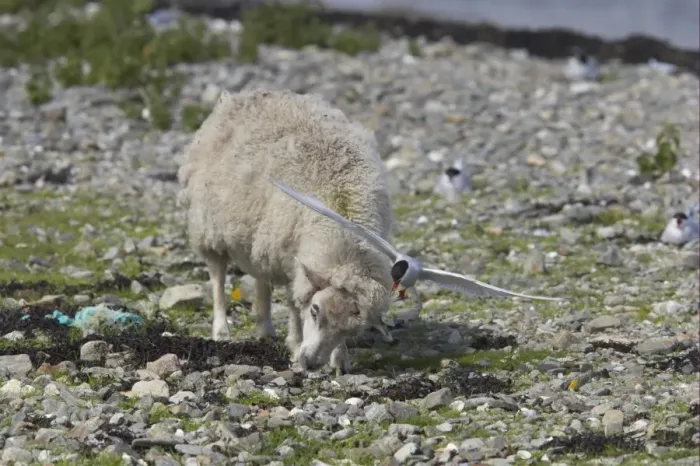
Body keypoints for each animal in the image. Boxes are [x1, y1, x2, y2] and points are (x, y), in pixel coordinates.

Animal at [176, 88, 395, 374]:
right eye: (315, 310)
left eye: (351, 331)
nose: (311, 363)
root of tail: (241, 96)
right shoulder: (290, 260)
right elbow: (293, 304)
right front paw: (295, 344)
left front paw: (340, 360)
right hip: (209, 228)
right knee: (218, 278)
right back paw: (222, 330)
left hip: (260, 233)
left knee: (260, 278)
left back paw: (265, 327)